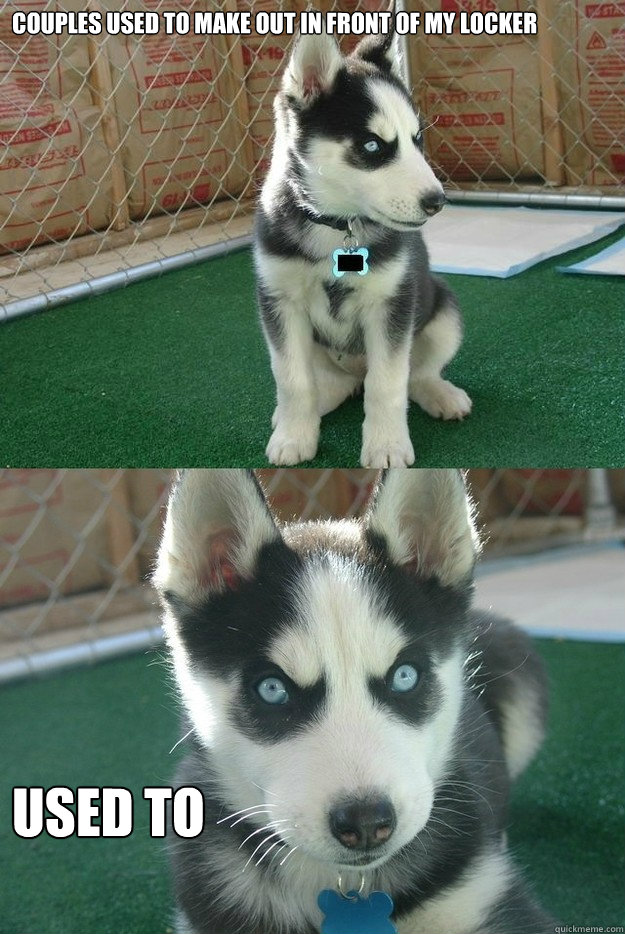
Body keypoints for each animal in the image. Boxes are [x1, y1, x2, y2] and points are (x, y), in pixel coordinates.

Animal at [251, 25, 470, 468]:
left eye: (417, 139)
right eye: (372, 146)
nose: (437, 202)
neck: (337, 225)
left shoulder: (391, 304)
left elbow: (387, 383)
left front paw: (386, 445)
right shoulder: (280, 301)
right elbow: (292, 379)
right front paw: (294, 435)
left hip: (444, 313)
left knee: (414, 375)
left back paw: (440, 394)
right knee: (330, 384)